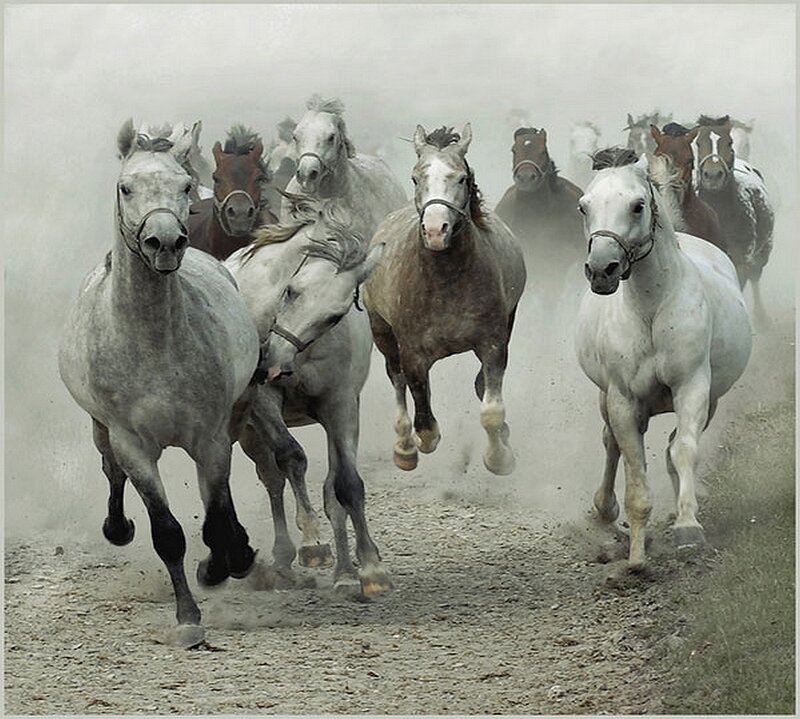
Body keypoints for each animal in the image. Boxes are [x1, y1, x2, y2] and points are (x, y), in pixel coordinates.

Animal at [57, 120, 262, 647]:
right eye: (125, 187)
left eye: (186, 187)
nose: (164, 243)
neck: (152, 343)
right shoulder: (132, 442)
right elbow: (167, 533)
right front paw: (188, 617)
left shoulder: (209, 437)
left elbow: (215, 514)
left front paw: (223, 563)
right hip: (100, 429)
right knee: (110, 472)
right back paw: (118, 527)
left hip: (232, 416)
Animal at [224, 194, 391, 597]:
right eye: (292, 290)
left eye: (334, 316)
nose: (271, 363)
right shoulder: (264, 402)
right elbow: (292, 458)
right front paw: (313, 543)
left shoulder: (341, 405)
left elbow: (346, 485)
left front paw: (370, 567)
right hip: (249, 432)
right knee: (271, 478)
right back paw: (284, 555)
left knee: (329, 489)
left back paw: (343, 570)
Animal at [364, 124, 526, 476]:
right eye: (415, 178)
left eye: (461, 178)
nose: (436, 230)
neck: (445, 279)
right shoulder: (412, 353)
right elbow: (423, 419)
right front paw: (420, 442)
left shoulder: (493, 342)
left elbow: (491, 409)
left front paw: (499, 458)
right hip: (381, 331)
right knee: (396, 379)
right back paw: (404, 447)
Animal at [575, 148, 752, 570]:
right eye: (583, 206)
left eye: (637, 205)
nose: (602, 270)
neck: (652, 309)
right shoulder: (622, 400)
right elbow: (633, 467)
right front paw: (637, 558)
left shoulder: (692, 387)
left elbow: (683, 449)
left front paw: (688, 527)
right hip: (606, 396)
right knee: (610, 443)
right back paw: (604, 508)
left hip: (711, 401)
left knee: (673, 446)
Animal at [693, 114, 774, 329]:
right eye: (698, 142)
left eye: (728, 142)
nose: (713, 175)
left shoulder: (740, 256)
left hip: (764, 249)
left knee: (756, 273)